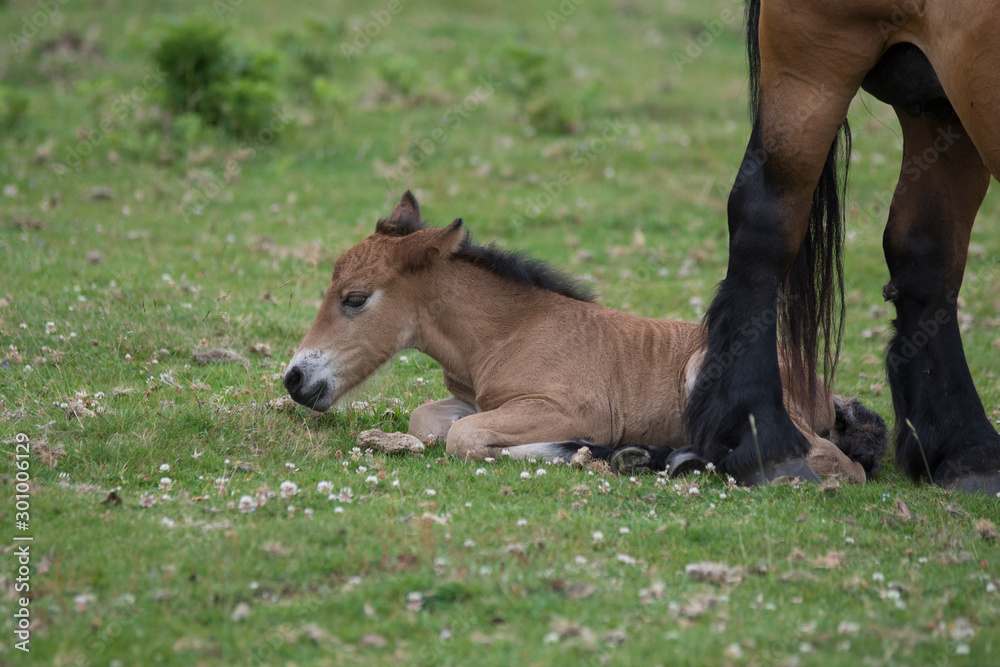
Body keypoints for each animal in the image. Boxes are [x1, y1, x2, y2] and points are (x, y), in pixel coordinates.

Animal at [283, 192, 887, 483]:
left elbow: (465, 438)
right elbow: (429, 421)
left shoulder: (573, 407)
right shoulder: (478, 400)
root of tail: (820, 389)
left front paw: (583, 450)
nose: (294, 378)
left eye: (355, 298)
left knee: (841, 465)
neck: (507, 332)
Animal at [684, 0, 1000, 493]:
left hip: (946, 99)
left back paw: (968, 449)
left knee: (930, 250)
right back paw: (764, 438)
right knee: (767, 217)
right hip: (818, 57)